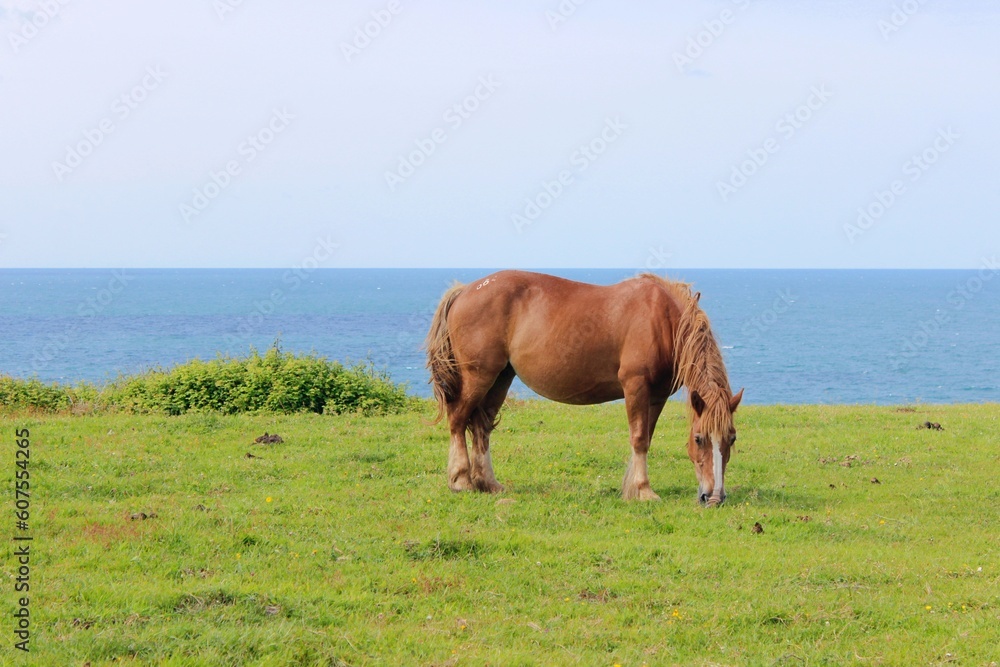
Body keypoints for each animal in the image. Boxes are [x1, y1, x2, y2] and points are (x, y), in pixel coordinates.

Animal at [424, 270, 743, 506]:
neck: (662, 319)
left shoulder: (657, 395)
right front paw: (643, 490)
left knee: (481, 426)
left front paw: (632, 488)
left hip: (501, 377)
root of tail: (465, 290)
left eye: (732, 438)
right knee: (458, 420)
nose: (713, 497)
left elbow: (646, 438)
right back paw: (461, 481)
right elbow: (639, 438)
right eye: (699, 439)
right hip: (479, 376)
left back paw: (488, 483)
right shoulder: (636, 386)